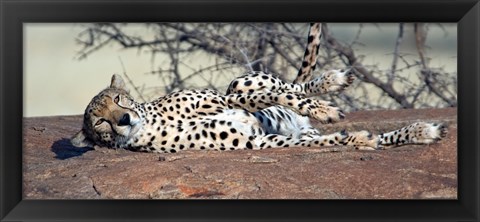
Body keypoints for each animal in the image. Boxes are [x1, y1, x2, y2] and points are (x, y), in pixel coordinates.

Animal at [70, 23, 446, 153]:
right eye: (100, 122)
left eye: (119, 99)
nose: (123, 120)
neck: (151, 120)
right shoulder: (258, 141)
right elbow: (329, 139)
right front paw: (357, 139)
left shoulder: (226, 97)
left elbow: (275, 94)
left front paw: (326, 109)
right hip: (297, 130)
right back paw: (420, 131)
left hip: (239, 79)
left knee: (292, 84)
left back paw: (333, 81)